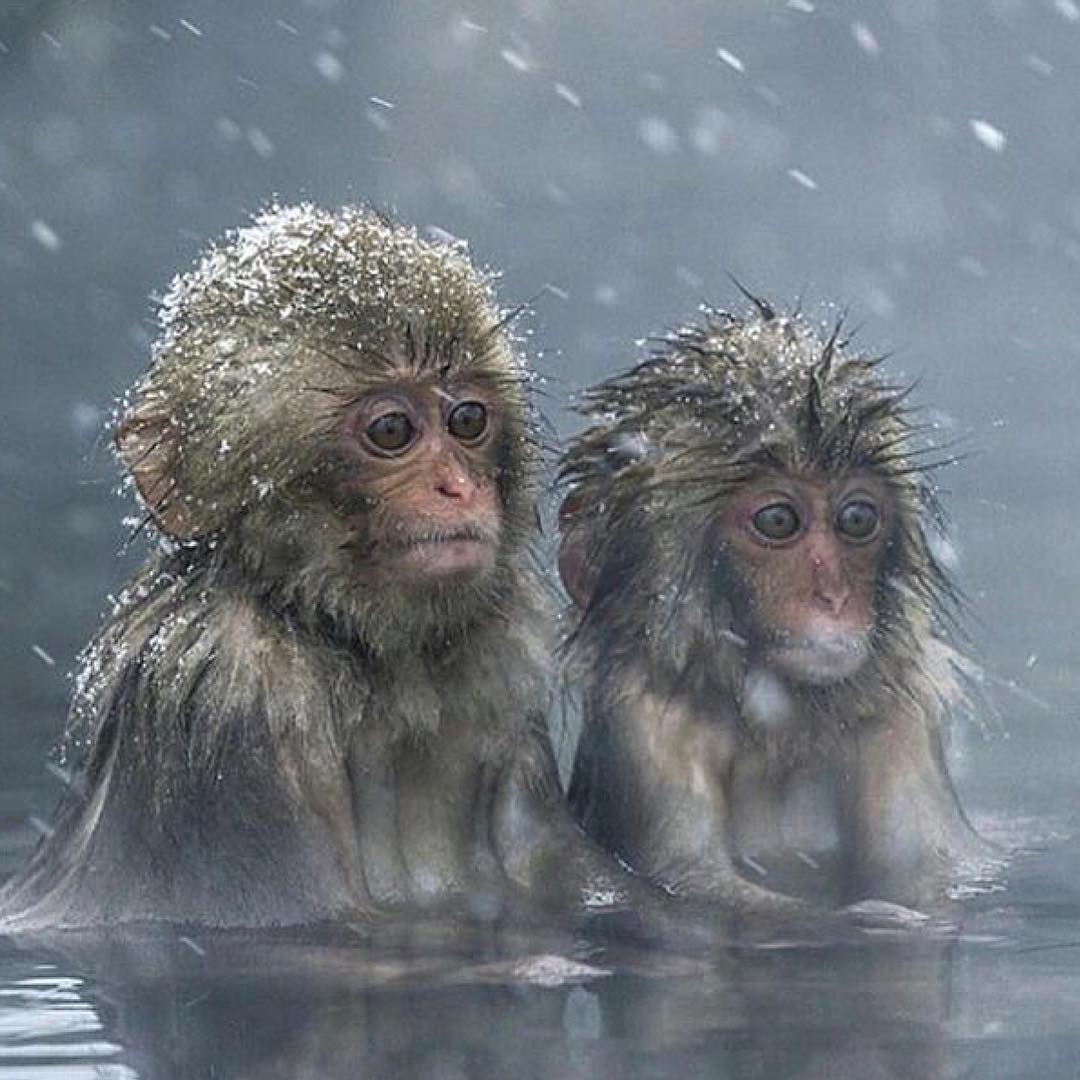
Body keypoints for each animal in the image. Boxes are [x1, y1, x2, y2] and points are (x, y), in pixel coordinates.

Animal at [0, 204, 648, 930]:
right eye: (391, 430)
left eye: (468, 418)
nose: (457, 486)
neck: (363, 657)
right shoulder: (228, 694)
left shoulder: (501, 679)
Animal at [559, 299, 998, 913]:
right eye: (777, 521)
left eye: (856, 519)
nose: (834, 594)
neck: (779, 731)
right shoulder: (649, 726)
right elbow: (692, 879)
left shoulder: (900, 719)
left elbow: (930, 867)